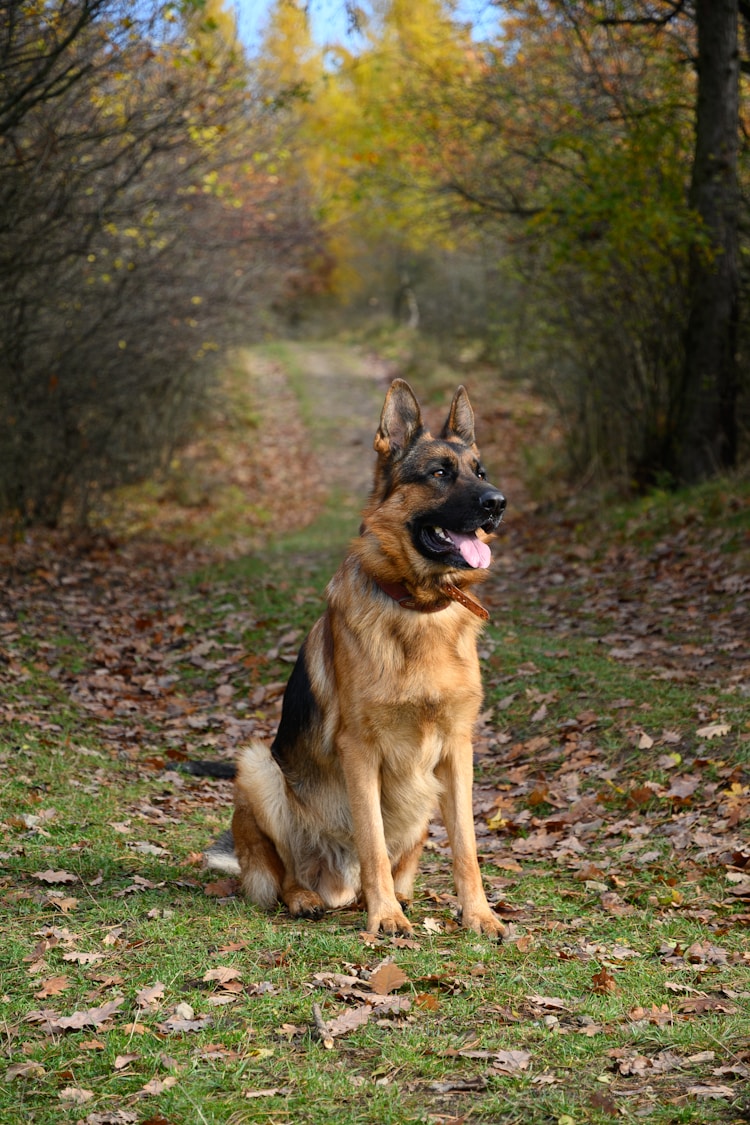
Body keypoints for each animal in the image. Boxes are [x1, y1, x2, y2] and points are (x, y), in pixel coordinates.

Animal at [205, 382, 508, 936]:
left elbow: (467, 847)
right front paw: (385, 916)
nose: (498, 503)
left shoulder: (458, 748)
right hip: (259, 767)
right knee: (284, 872)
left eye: (480, 471)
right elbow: (371, 839)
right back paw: (309, 897)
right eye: (439, 473)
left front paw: (478, 914)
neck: (418, 609)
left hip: (422, 803)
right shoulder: (360, 750)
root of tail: (337, 886)